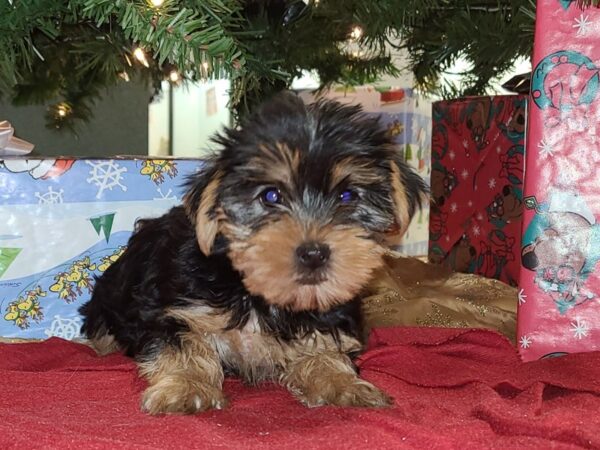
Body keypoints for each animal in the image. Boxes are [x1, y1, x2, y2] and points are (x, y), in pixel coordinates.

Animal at [78, 92, 426, 414]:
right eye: (270, 196)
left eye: (348, 196)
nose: (314, 253)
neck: (258, 293)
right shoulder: (172, 307)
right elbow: (182, 345)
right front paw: (187, 387)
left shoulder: (330, 316)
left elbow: (325, 349)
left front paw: (344, 384)